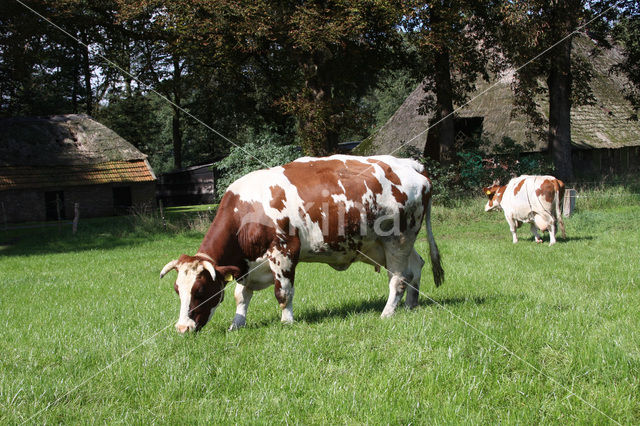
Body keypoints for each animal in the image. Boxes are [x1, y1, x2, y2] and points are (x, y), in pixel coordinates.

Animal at [159, 155, 444, 332]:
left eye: (200, 291)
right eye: (177, 290)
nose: (182, 328)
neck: (247, 209)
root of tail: (410, 164)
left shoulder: (284, 251)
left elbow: (283, 292)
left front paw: (287, 322)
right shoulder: (247, 265)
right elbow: (241, 296)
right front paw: (237, 324)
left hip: (398, 239)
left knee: (398, 279)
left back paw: (388, 313)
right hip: (391, 244)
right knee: (415, 267)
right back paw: (411, 305)